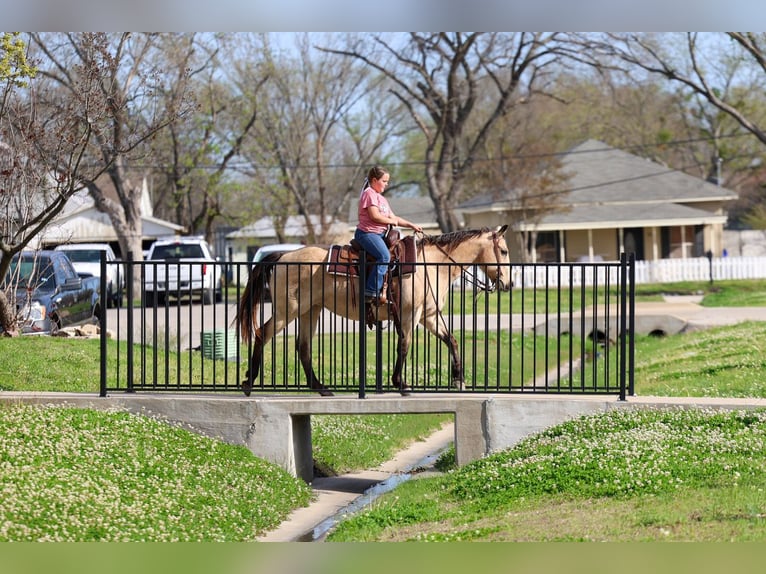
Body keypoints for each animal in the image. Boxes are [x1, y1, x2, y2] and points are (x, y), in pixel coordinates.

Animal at [237, 225, 511, 397]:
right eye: (504, 251)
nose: (509, 284)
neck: (431, 264)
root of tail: (283, 256)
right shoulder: (410, 314)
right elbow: (405, 344)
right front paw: (401, 383)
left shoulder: (429, 316)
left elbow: (451, 340)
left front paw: (459, 379)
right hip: (287, 311)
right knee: (262, 334)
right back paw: (249, 382)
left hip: (309, 310)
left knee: (303, 347)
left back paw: (321, 388)